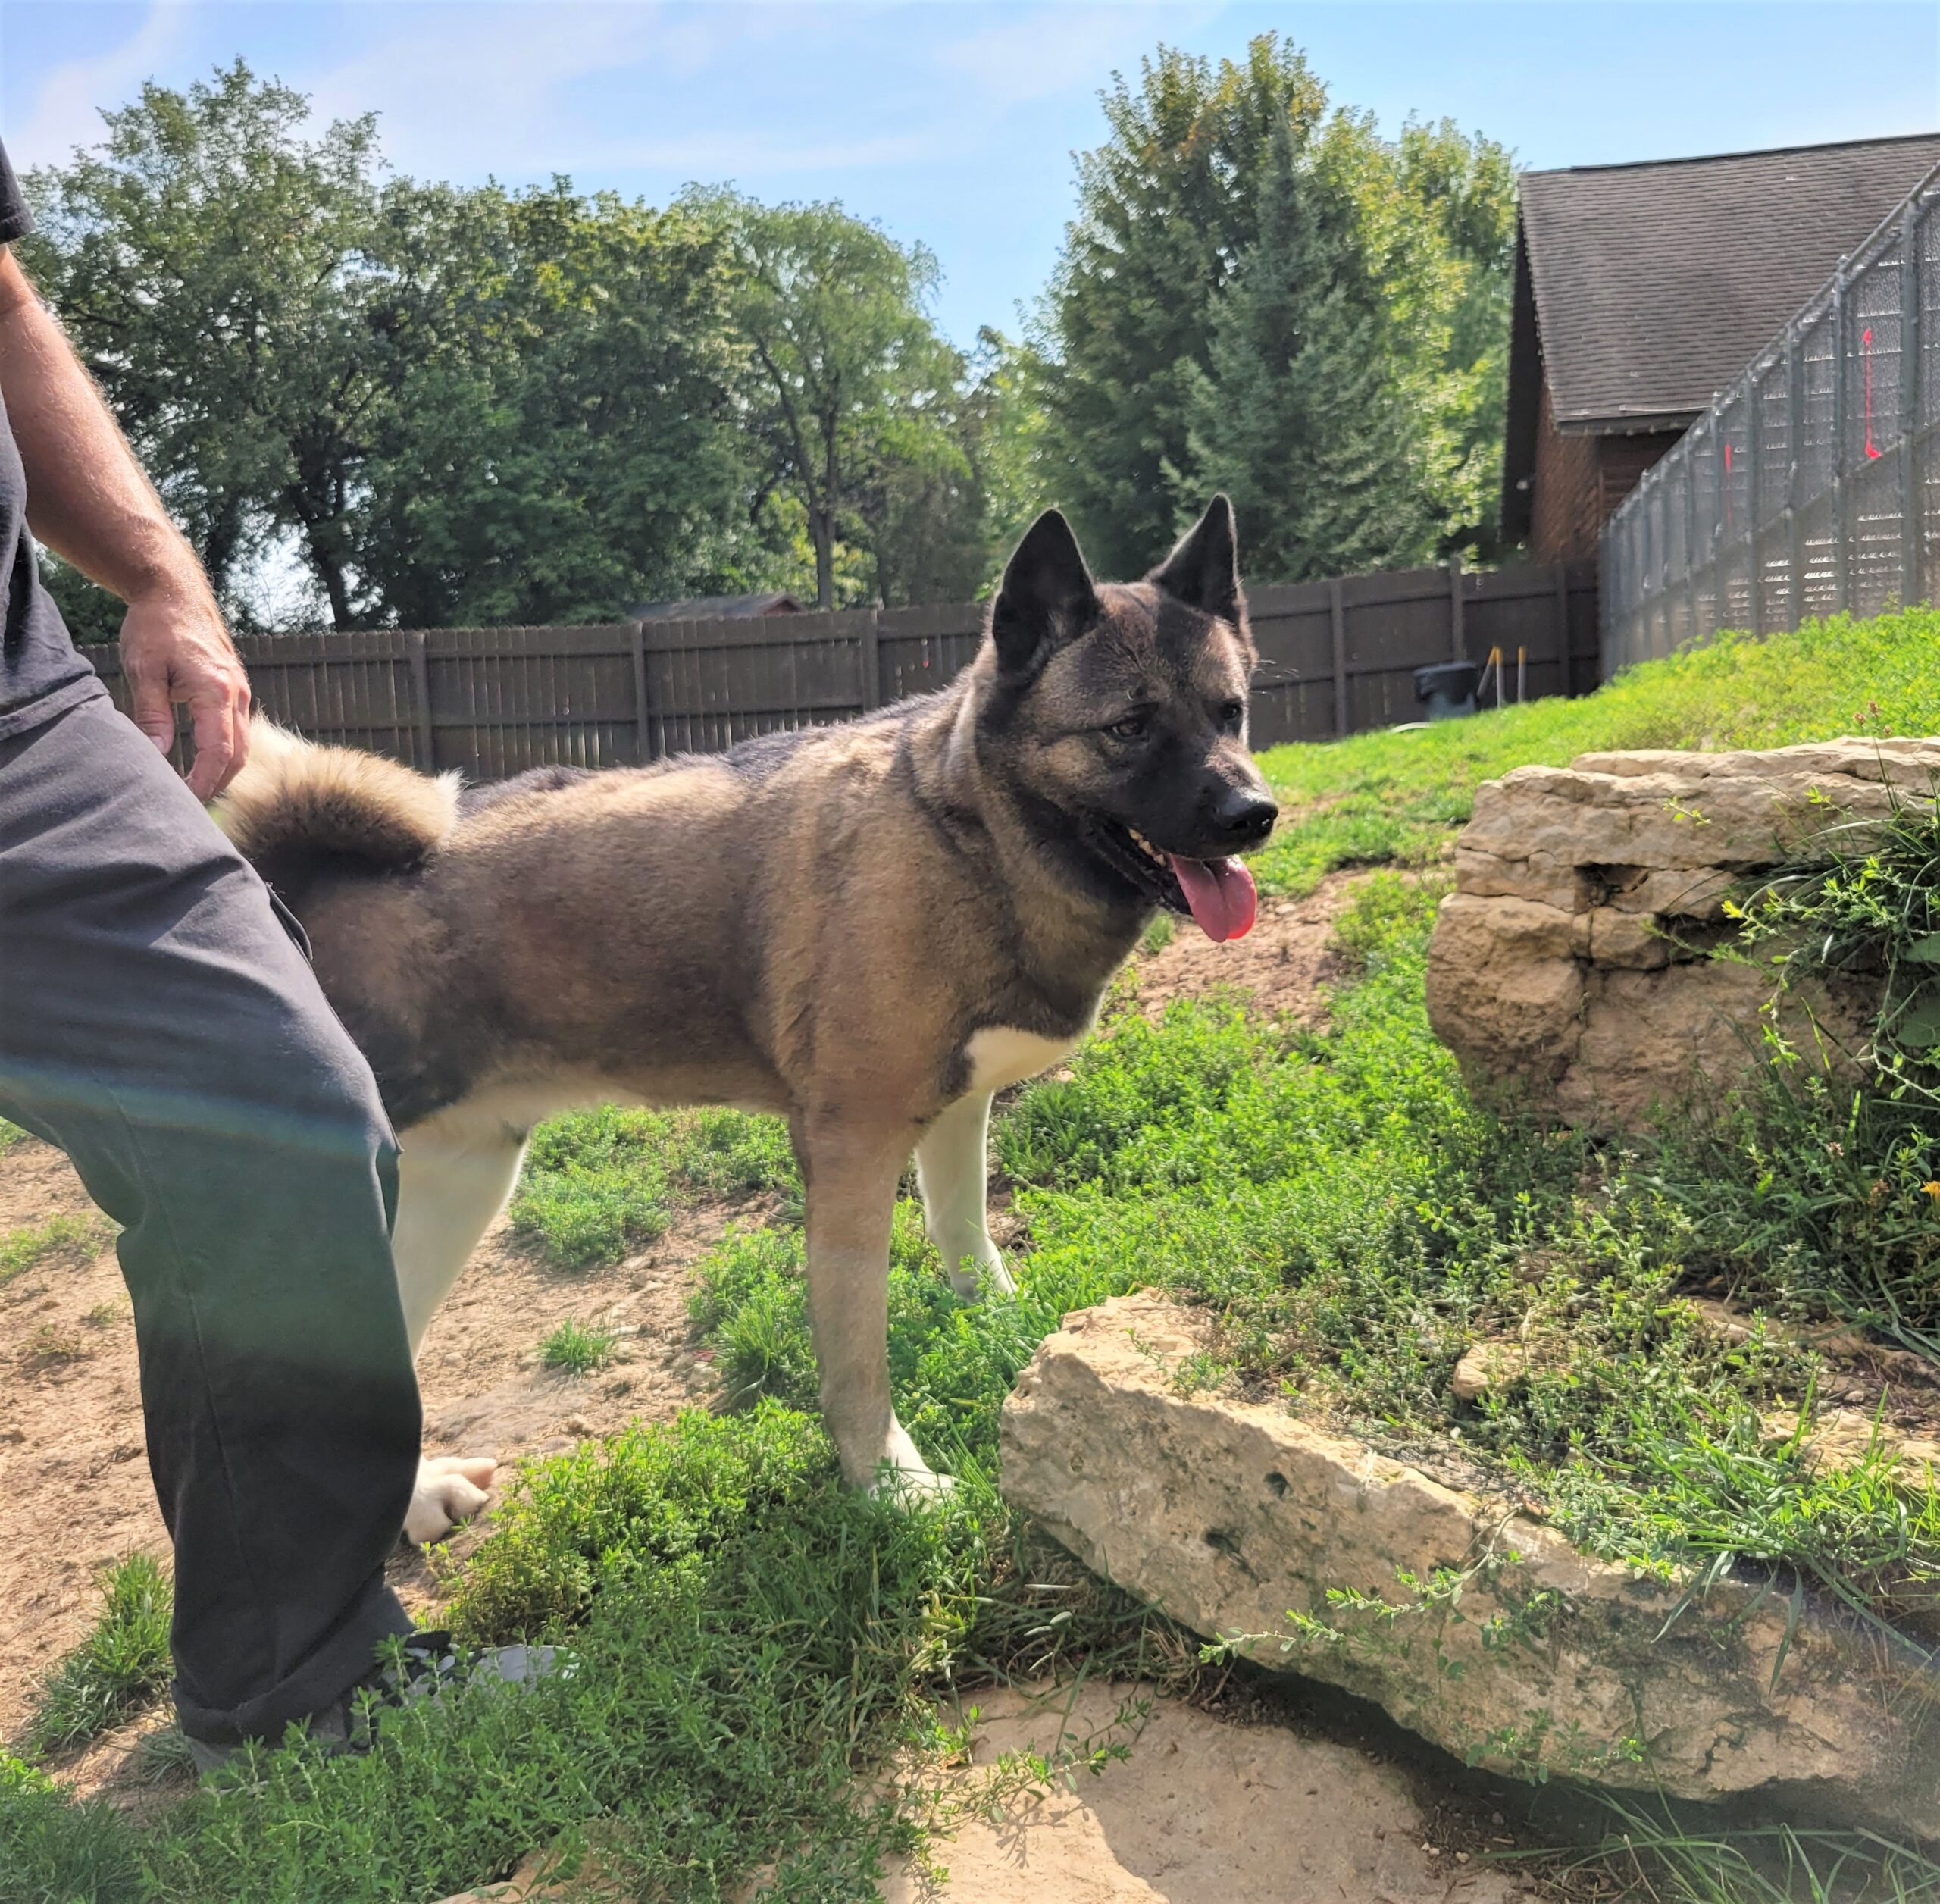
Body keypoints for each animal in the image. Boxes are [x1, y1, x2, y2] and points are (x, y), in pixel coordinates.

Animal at [216, 496, 1272, 1537]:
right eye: (1128, 726)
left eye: (1231, 712)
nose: (1254, 813)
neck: (967, 828)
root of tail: (292, 875)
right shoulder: (850, 1153)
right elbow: (857, 1358)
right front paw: (888, 1485)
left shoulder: (955, 1118)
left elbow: (970, 1243)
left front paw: (1004, 1333)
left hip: (458, 1186)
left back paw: (417, 1497)